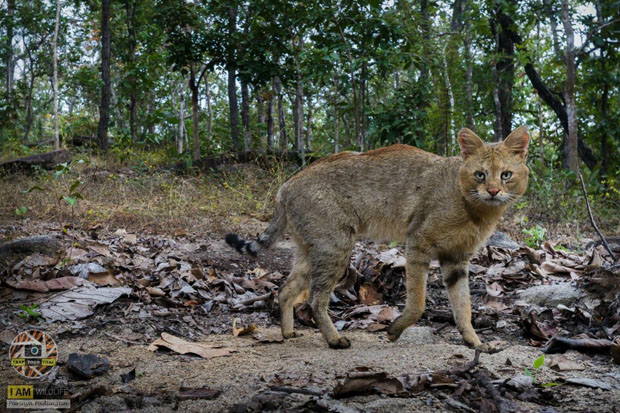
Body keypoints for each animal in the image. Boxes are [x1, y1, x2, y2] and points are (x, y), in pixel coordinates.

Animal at [225, 125, 532, 350]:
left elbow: (463, 307)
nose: (492, 191)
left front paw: (475, 342)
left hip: (312, 252)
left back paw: (288, 332)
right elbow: (418, 303)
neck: (474, 210)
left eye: (506, 175)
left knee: (286, 291)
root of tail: (287, 185)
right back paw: (334, 339)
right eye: (480, 175)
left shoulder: (457, 259)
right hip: (335, 248)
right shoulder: (418, 243)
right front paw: (394, 330)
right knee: (314, 299)